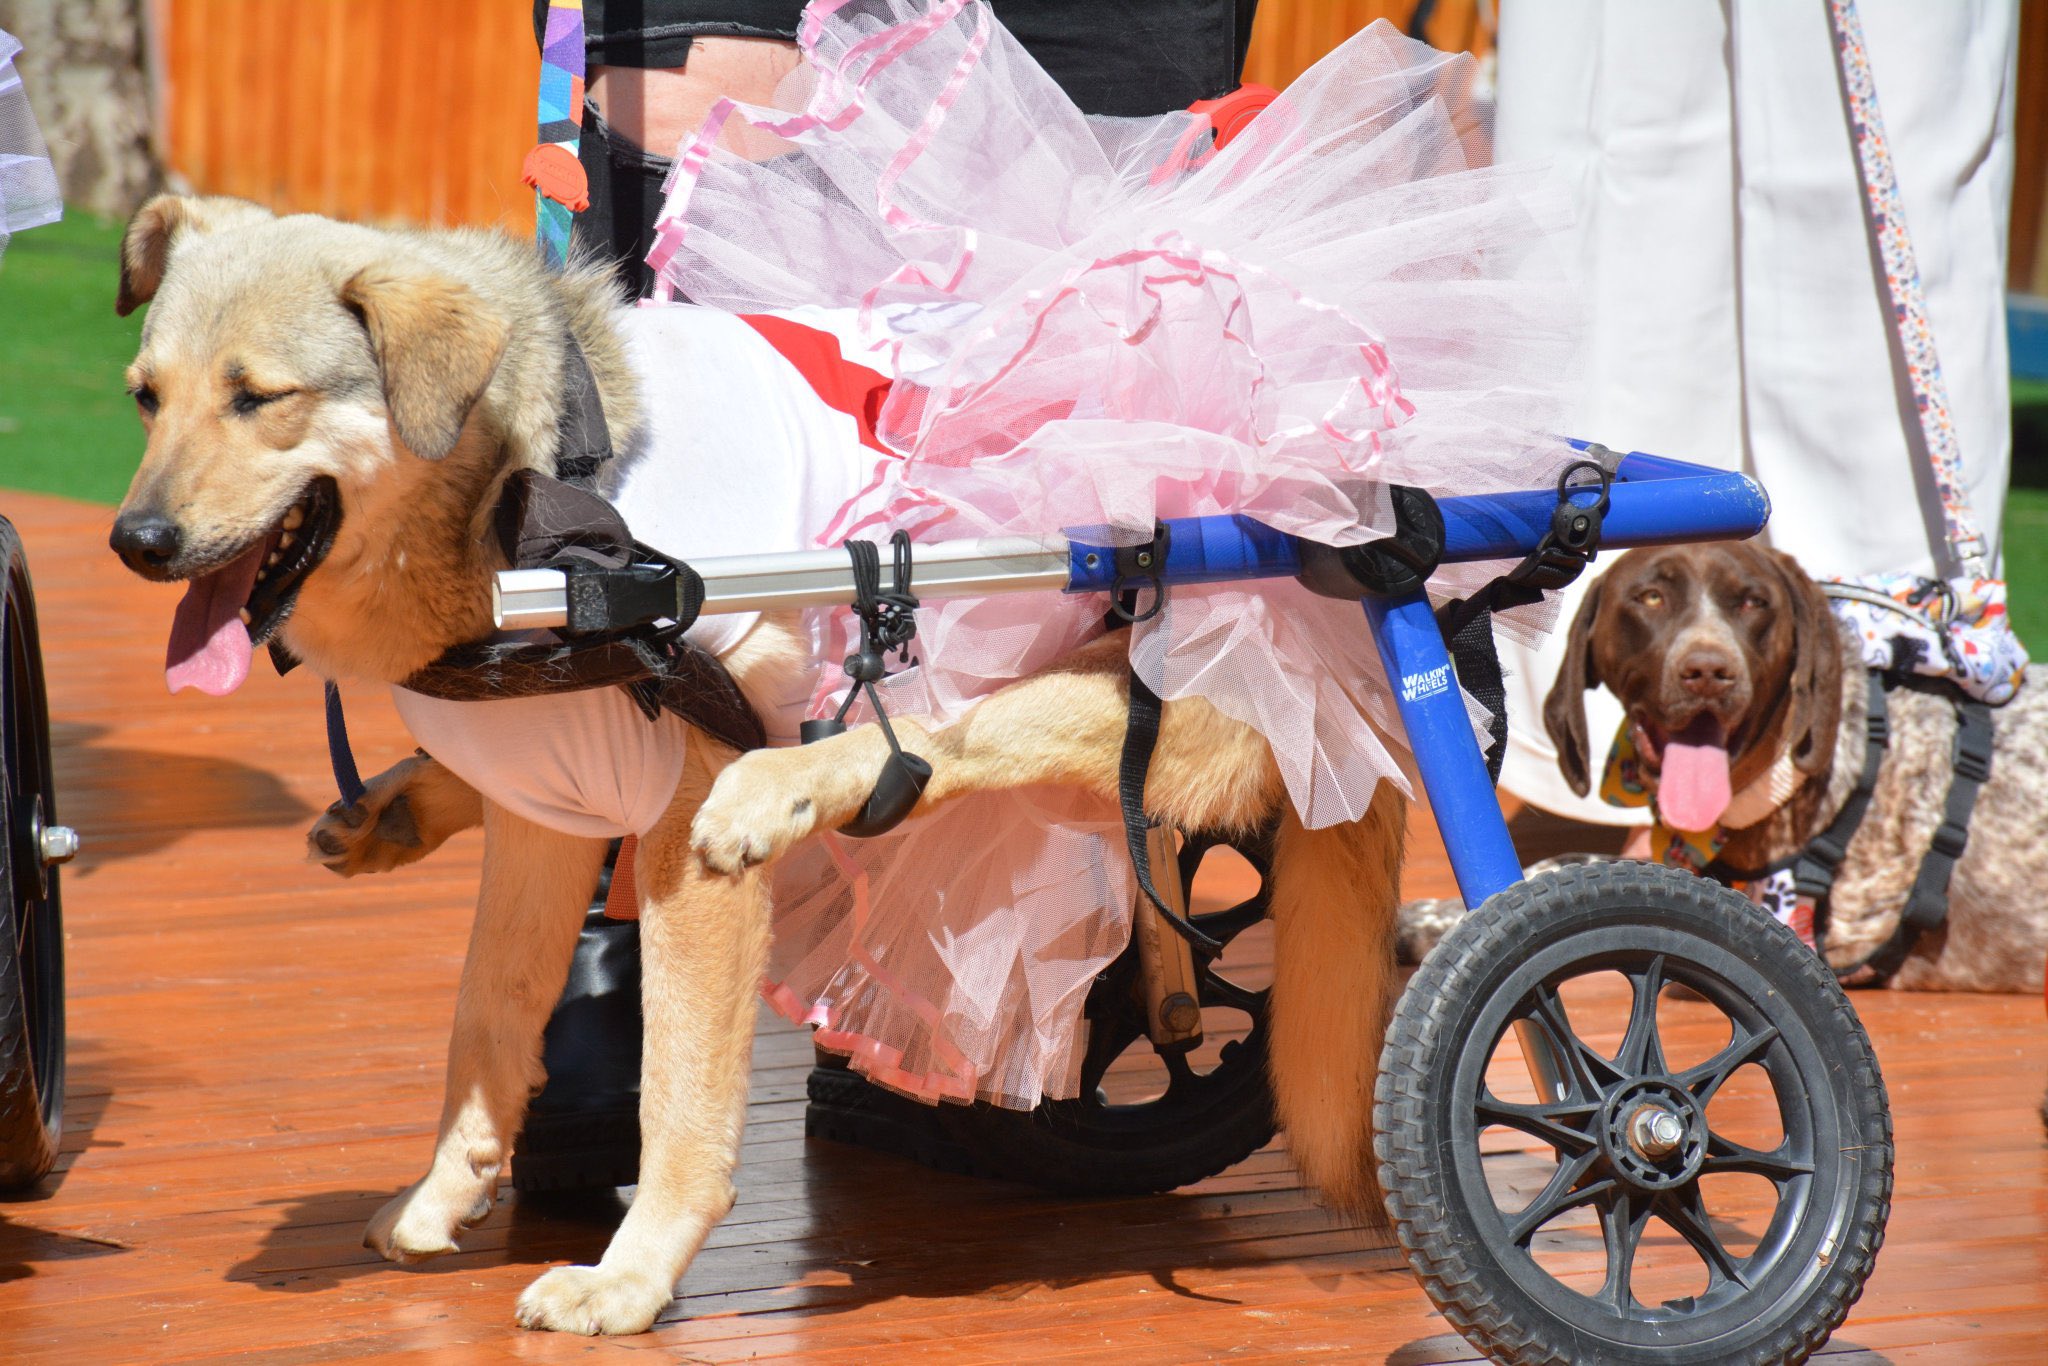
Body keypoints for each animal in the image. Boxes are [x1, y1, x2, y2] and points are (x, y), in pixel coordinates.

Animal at [116, 197, 1409, 1343]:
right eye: (145, 397)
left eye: (258, 397)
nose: (135, 542)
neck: (536, 496)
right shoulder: (546, 812)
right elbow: (486, 1020)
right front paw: (449, 1186)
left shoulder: (675, 846)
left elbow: (678, 1093)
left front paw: (630, 1278)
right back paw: (397, 807)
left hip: (1167, 694)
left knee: (967, 738)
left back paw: (785, 790)